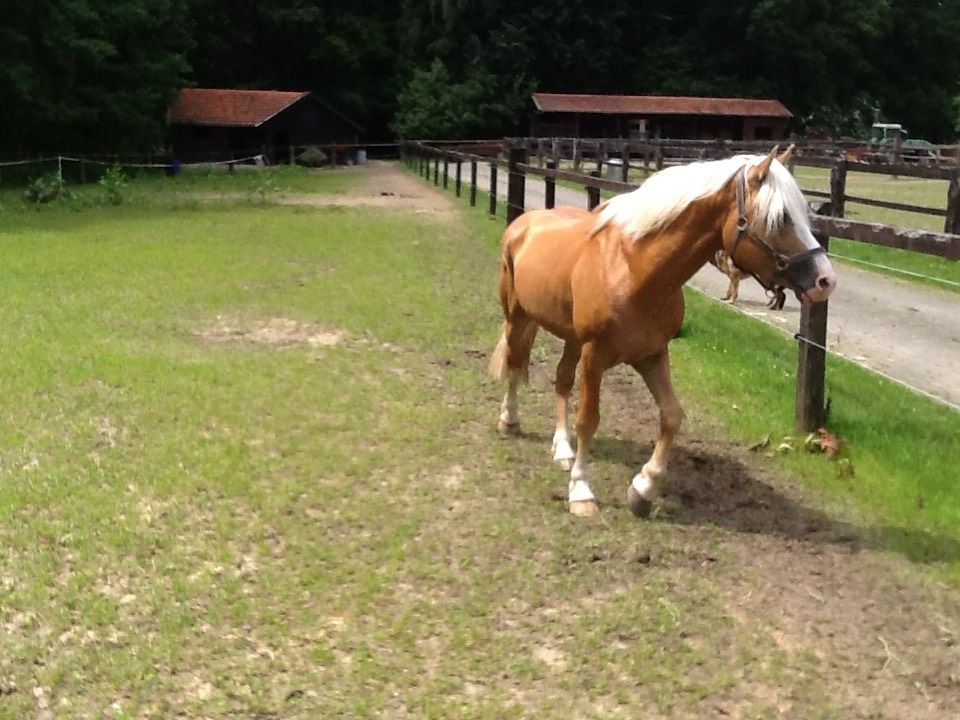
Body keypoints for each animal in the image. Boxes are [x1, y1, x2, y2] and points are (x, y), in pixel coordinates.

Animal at [492, 145, 836, 516]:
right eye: (780, 217)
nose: (826, 280)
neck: (633, 270)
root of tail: (524, 223)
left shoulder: (652, 354)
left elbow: (671, 416)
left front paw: (643, 489)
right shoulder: (595, 356)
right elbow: (588, 419)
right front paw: (581, 491)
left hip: (572, 339)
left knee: (561, 380)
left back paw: (562, 450)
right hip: (518, 318)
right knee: (515, 363)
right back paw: (510, 421)